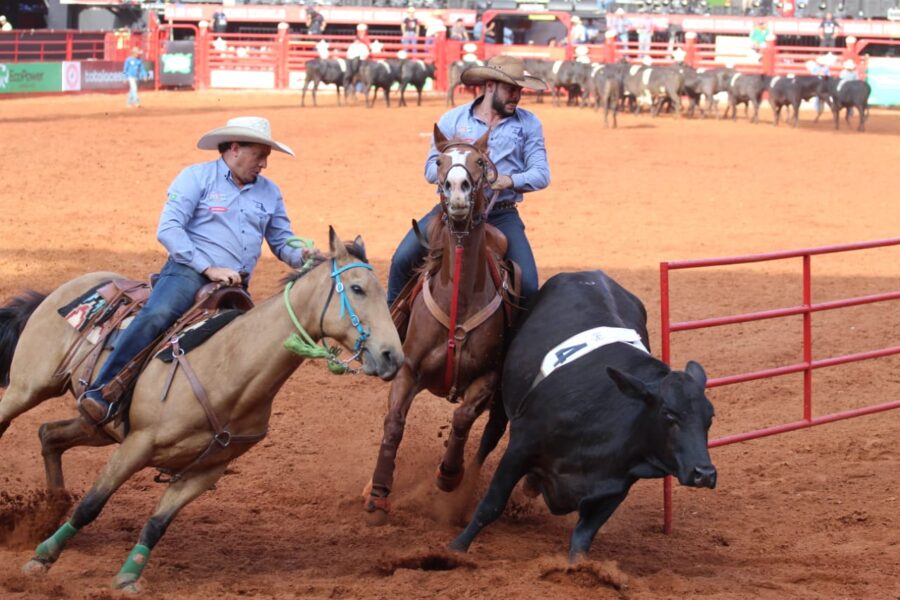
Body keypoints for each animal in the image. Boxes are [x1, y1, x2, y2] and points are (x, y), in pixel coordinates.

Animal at [0, 229, 400, 592]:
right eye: (357, 289)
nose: (392, 356)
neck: (230, 367)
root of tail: (69, 287)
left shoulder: (204, 472)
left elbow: (157, 524)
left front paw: (128, 577)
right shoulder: (138, 444)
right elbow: (92, 504)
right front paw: (42, 558)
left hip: (97, 427)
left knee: (49, 435)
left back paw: (50, 511)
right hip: (28, 388)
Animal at [364, 126, 520, 524]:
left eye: (480, 161)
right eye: (439, 162)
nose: (457, 189)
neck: (459, 303)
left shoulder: (489, 377)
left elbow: (463, 418)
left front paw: (449, 475)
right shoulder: (409, 370)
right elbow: (393, 423)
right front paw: (378, 493)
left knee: (490, 434)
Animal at [450, 272, 716, 564]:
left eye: (710, 418)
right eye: (669, 414)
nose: (705, 473)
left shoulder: (616, 482)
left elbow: (583, 536)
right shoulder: (521, 446)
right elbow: (491, 504)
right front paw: (456, 548)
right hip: (501, 398)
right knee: (490, 437)